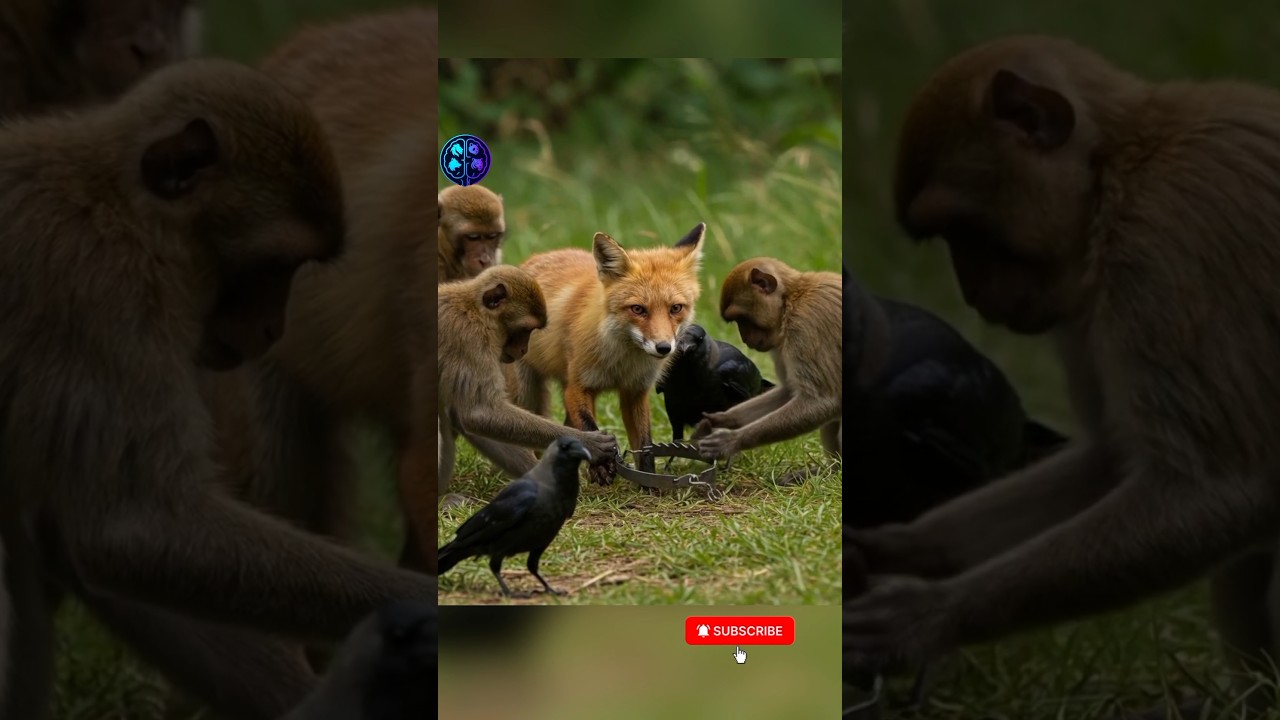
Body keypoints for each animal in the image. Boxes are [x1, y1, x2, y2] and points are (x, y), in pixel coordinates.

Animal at [0, 59, 436, 720]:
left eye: (294, 270)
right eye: (274, 265)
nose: (275, 329)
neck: (117, 210)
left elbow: (84, 535)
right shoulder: (101, 298)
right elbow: (134, 529)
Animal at [437, 266, 620, 500]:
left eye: (530, 332)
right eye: (525, 330)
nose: (524, 350)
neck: (475, 311)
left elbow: (468, 417)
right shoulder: (469, 340)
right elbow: (479, 412)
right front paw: (590, 443)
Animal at [515, 223, 706, 484]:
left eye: (675, 308)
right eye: (638, 309)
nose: (664, 347)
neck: (622, 363)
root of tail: (536, 258)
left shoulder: (636, 392)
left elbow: (645, 445)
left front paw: (649, 484)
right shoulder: (577, 387)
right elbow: (589, 427)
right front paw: (602, 465)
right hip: (526, 391)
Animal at [691, 258, 841, 483]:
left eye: (741, 318)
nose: (745, 338)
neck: (792, 299)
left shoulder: (806, 325)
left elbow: (821, 401)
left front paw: (732, 440)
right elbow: (789, 391)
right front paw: (720, 420)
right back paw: (831, 471)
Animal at [841, 34, 1280, 718]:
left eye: (962, 229)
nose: (972, 293)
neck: (1122, 169)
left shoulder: (1161, 254)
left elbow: (1216, 489)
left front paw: (929, 617)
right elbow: (1115, 458)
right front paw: (898, 550)